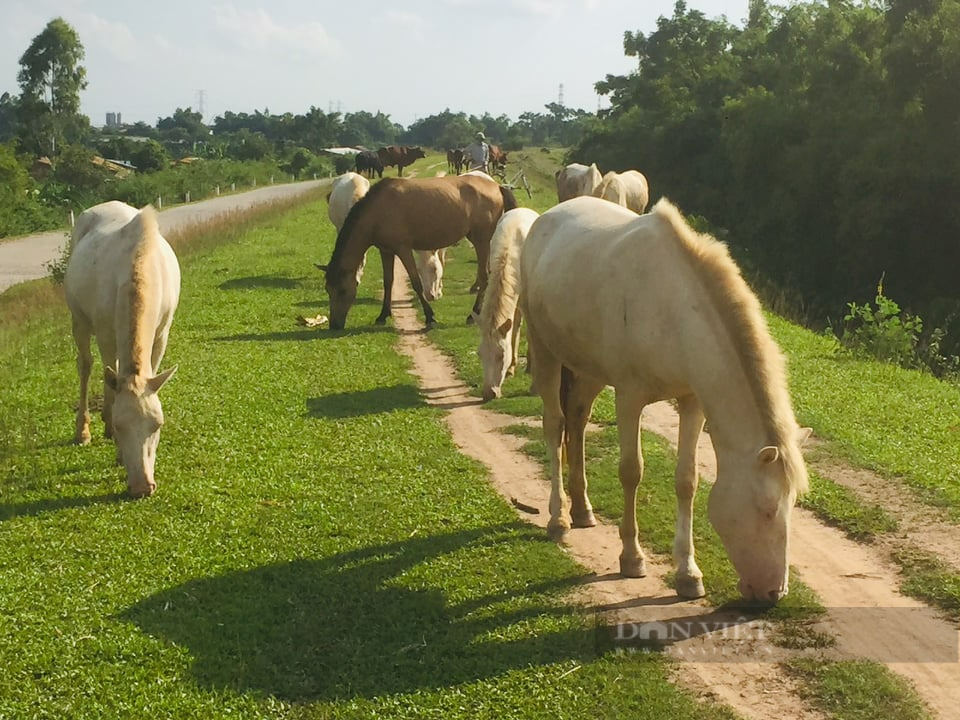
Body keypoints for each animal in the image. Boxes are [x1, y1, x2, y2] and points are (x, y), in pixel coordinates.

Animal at [66, 200, 183, 498]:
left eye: (158, 424)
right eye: (122, 425)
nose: (142, 486)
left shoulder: (162, 334)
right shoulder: (107, 335)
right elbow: (109, 382)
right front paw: (113, 438)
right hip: (79, 321)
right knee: (86, 365)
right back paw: (83, 431)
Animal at [318, 174, 516, 332]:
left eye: (343, 290)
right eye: (328, 289)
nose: (334, 325)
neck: (378, 210)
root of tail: (496, 186)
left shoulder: (403, 249)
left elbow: (416, 282)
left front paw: (430, 317)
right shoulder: (386, 251)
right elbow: (388, 282)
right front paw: (382, 316)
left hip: (481, 241)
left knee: (484, 276)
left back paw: (472, 314)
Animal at [516, 195, 808, 600]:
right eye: (766, 508)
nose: (773, 593)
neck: (673, 311)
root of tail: (547, 218)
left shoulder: (692, 403)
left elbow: (687, 481)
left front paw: (688, 573)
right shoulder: (628, 398)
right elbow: (631, 472)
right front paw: (631, 557)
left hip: (590, 370)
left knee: (577, 418)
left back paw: (582, 509)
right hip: (546, 351)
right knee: (554, 425)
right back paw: (559, 519)